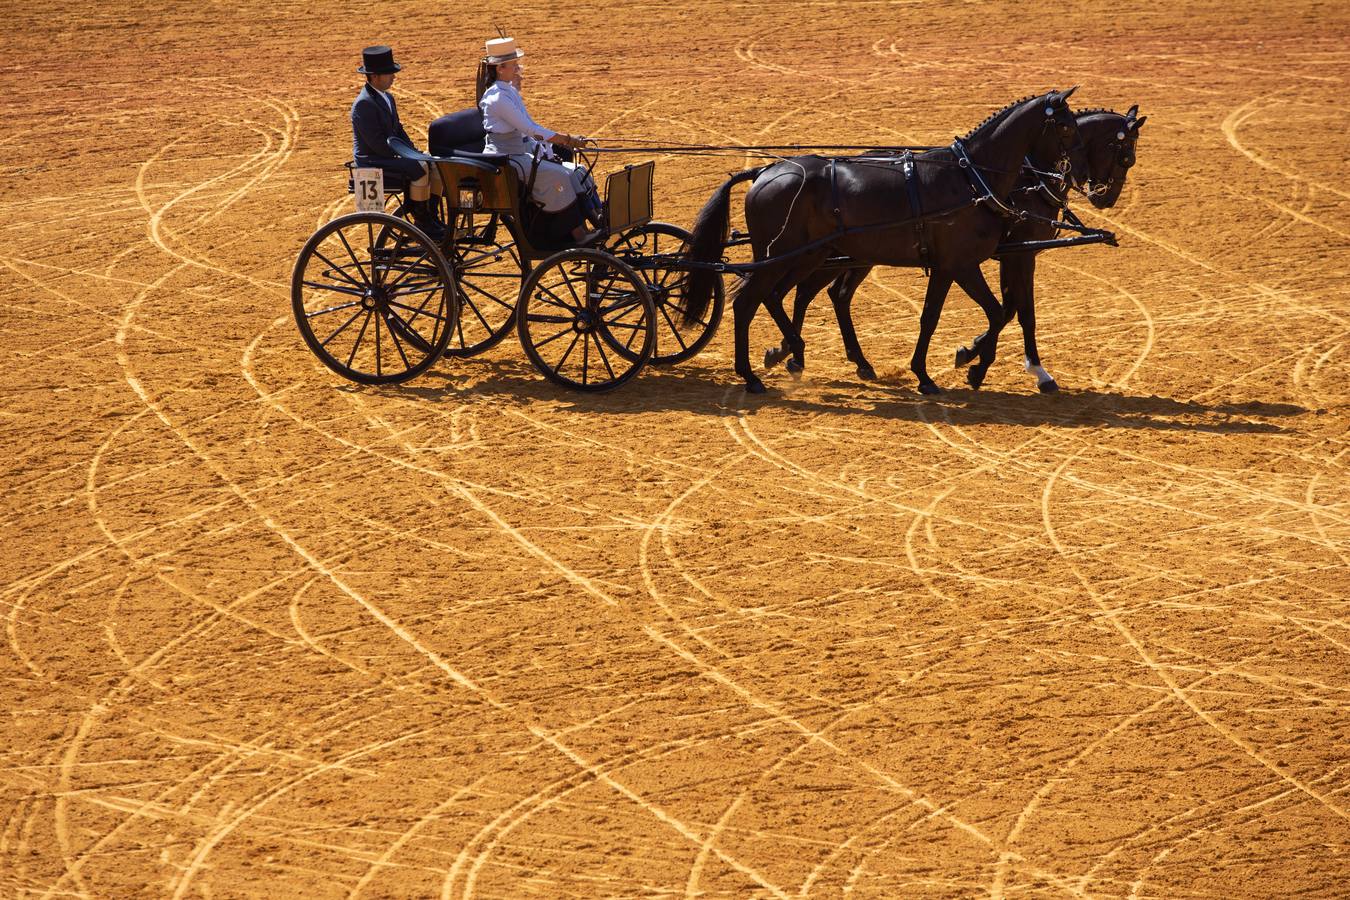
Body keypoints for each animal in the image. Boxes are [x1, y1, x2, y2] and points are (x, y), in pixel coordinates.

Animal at [685, 89, 1085, 394]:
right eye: (1065, 126)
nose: (1069, 175)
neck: (970, 180)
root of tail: (765, 172)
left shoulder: (953, 266)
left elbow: (954, 315)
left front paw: (952, 368)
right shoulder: (959, 264)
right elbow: (983, 313)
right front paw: (958, 369)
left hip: (809, 256)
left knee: (779, 296)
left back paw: (794, 353)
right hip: (781, 256)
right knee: (748, 303)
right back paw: (752, 375)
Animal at [766, 104, 1144, 391]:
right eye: (1125, 156)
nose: (1104, 197)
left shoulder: (1012, 255)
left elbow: (1012, 310)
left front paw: (976, 356)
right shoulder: (1015, 254)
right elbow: (1017, 311)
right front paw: (989, 363)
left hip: (854, 255)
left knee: (832, 294)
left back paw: (825, 358)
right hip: (829, 253)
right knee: (807, 292)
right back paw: (792, 354)